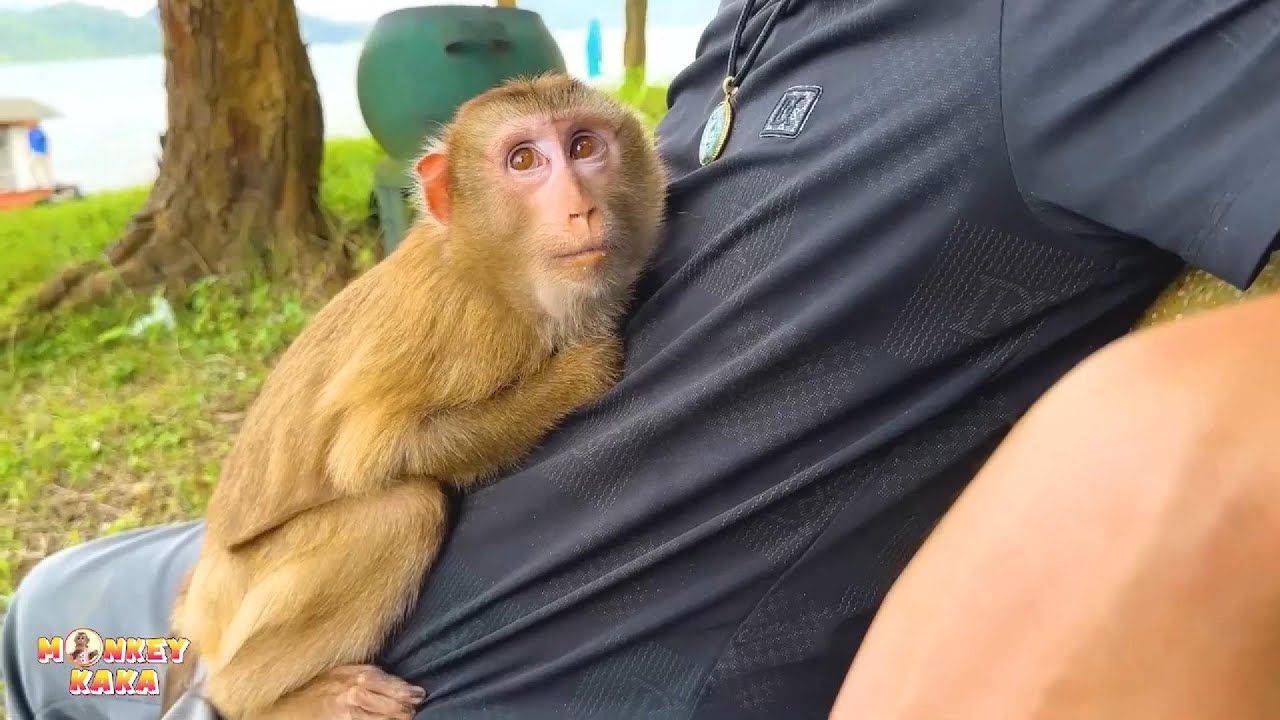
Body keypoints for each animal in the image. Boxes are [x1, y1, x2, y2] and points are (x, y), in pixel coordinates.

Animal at [158, 73, 667, 720]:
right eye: (524, 160)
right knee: (405, 511)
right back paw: (268, 696)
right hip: (238, 595)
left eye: (583, 146)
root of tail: (199, 592)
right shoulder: (474, 333)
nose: (582, 207)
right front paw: (581, 372)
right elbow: (374, 453)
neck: (491, 273)